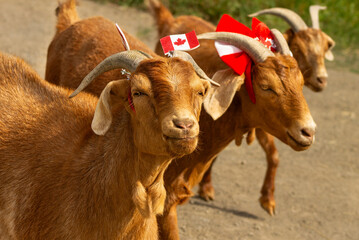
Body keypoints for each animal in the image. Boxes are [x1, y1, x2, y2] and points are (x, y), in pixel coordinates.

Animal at [148, 0, 324, 216]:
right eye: (266, 86)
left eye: (300, 83)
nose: (308, 132)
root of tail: (172, 19)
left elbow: (273, 155)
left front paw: (268, 201)